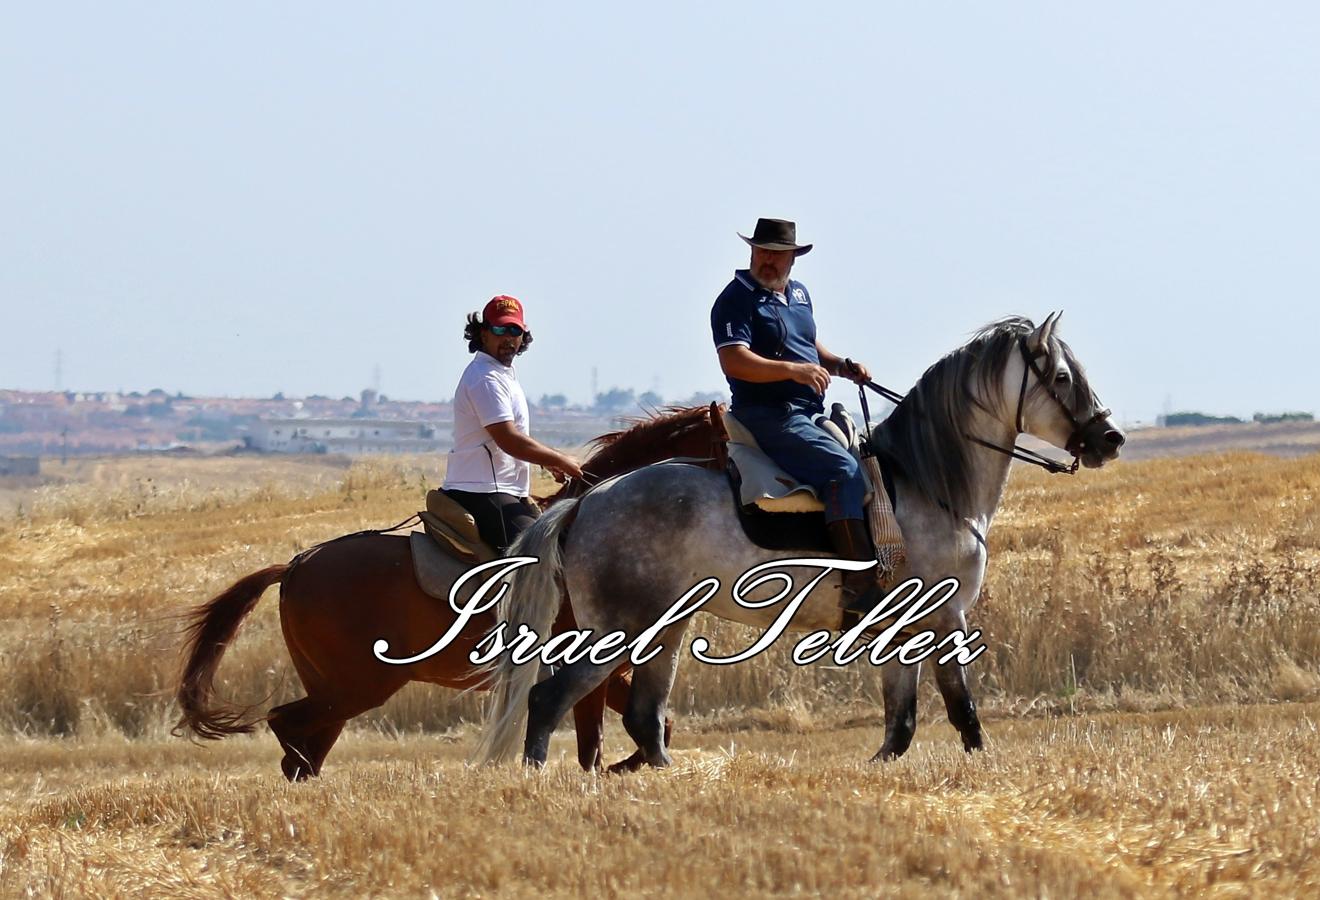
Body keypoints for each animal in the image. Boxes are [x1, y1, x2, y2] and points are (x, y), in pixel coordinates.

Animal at [174, 403, 723, 775]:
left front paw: (627, 767)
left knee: (303, 747)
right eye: (725, 445)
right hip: (357, 686)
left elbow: (647, 727)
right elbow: (594, 740)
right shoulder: (590, 662)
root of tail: (295, 565)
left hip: (334, 688)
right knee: (287, 728)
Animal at [475, 311, 1124, 760]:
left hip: (664, 630)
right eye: (1061, 375)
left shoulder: (905, 630)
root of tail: (586, 501)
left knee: (643, 716)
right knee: (550, 700)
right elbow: (958, 707)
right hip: (617, 631)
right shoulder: (945, 616)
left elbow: (901, 722)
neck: (929, 483)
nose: (1109, 439)